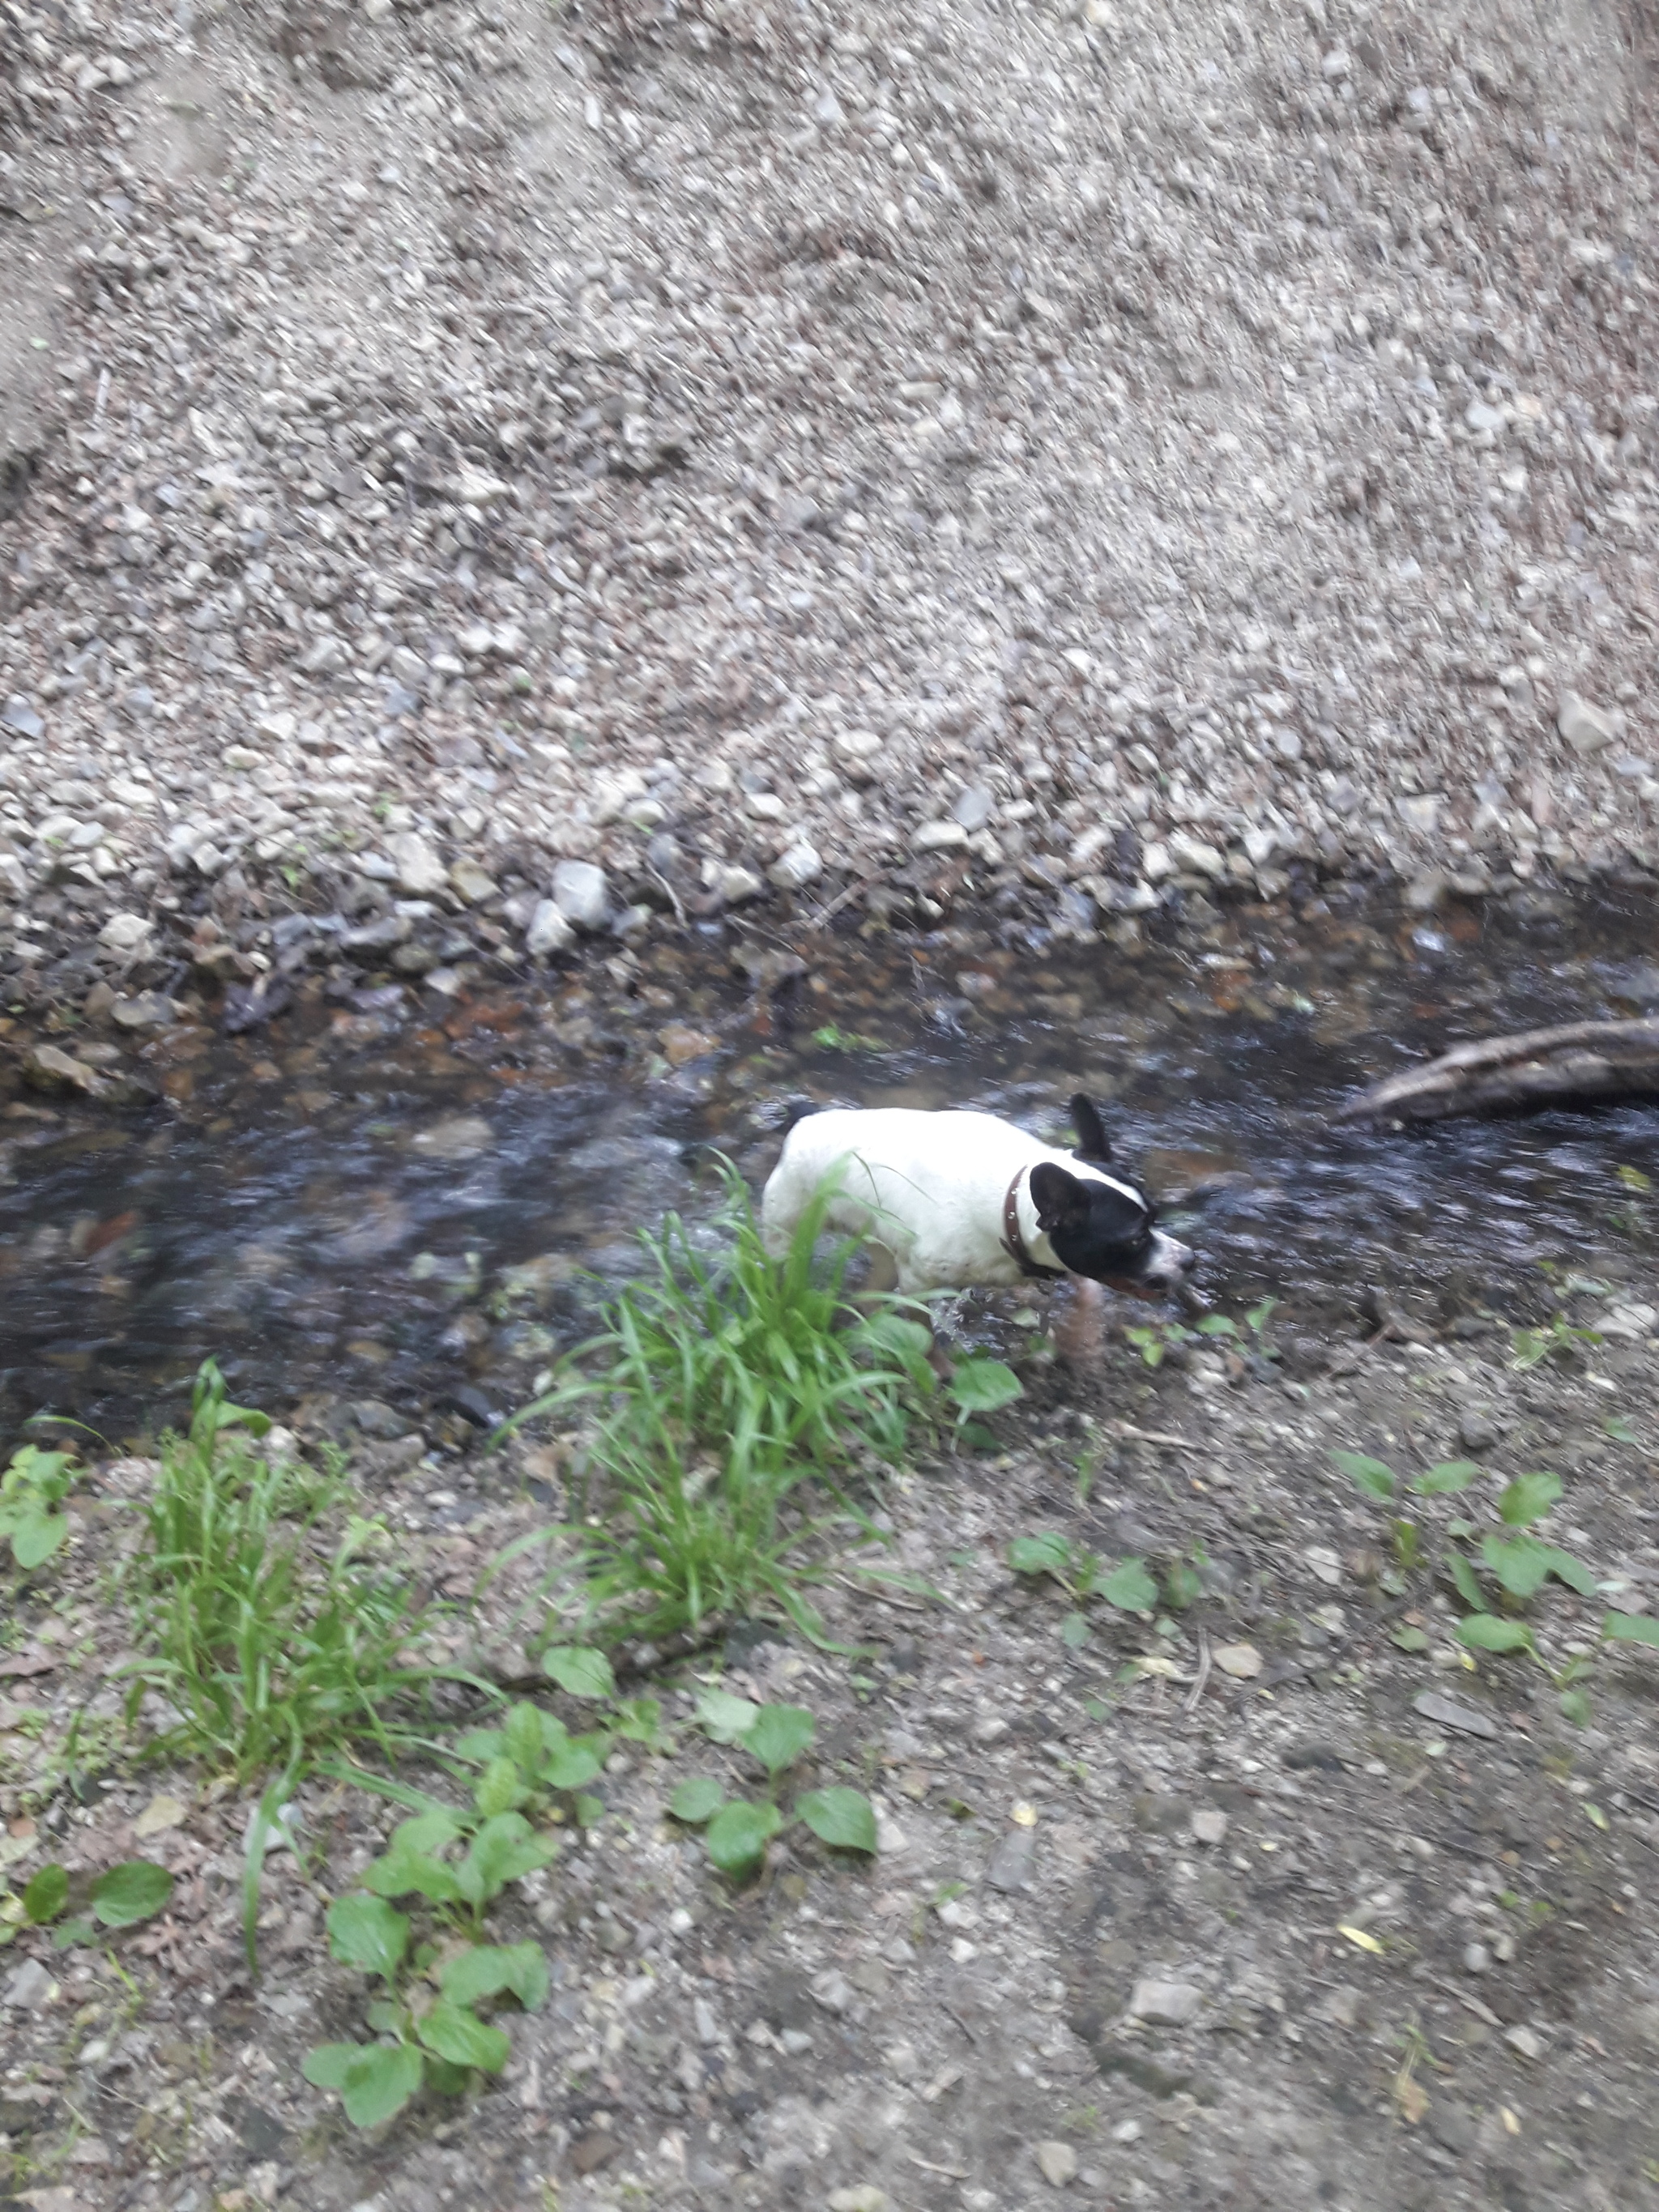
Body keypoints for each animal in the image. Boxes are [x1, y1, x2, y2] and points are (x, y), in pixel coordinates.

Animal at [765, 1097, 1194, 1300]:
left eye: (1156, 1216)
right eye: (1135, 1240)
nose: (1190, 1259)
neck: (1011, 1203)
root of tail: (804, 1118)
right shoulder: (919, 1281)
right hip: (785, 1227)